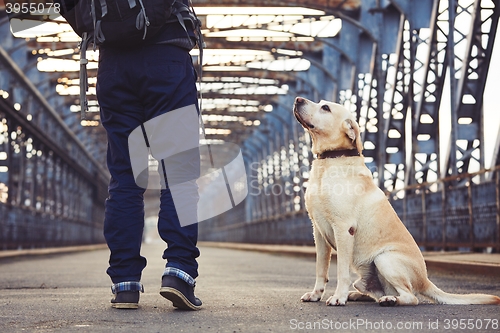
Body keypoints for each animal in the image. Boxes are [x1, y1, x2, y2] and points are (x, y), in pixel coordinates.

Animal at [292, 96, 500, 306]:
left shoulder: (344, 228)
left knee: (411, 297)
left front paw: (338, 297)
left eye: (325, 107)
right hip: (369, 275)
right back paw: (360, 295)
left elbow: (342, 270)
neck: (329, 161)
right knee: (375, 292)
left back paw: (389, 300)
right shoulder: (318, 231)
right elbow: (321, 268)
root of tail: (425, 280)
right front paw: (316, 294)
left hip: (385, 259)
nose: (298, 99)